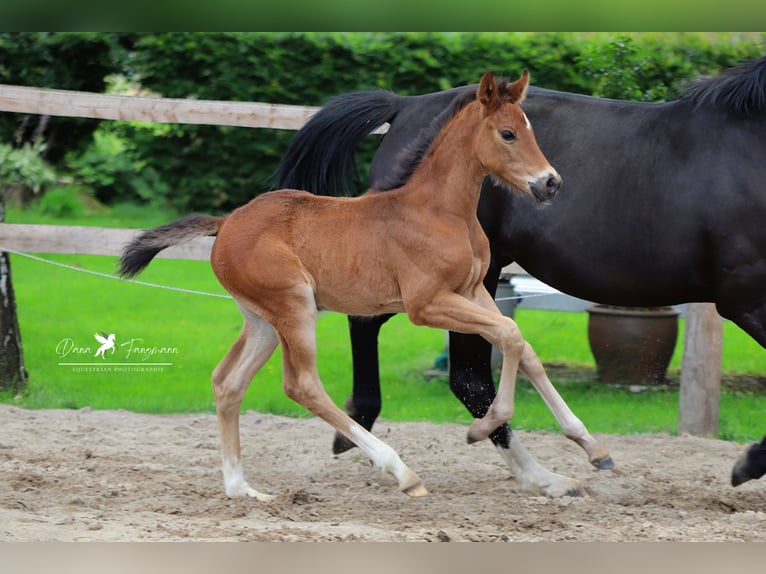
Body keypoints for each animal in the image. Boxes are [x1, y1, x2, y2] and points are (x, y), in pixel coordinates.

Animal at [280, 56, 766, 492]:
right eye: (509, 134)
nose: (550, 183)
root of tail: (405, 105)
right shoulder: (745, 299)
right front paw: (748, 464)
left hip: (456, 282)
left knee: (449, 362)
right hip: (446, 279)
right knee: (451, 366)